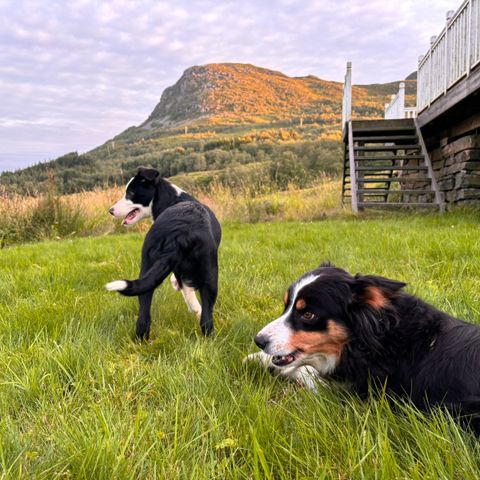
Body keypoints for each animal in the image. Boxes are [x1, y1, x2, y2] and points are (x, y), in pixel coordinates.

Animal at [105, 167, 221, 340]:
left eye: (130, 193)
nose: (110, 211)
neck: (172, 199)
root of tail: (180, 231)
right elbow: (186, 288)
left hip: (149, 263)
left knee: (144, 314)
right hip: (210, 272)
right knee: (205, 316)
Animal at [249, 262, 480, 436]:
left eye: (308, 315)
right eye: (286, 306)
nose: (259, 340)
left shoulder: (358, 393)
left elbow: (307, 371)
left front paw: (264, 362)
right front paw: (259, 357)